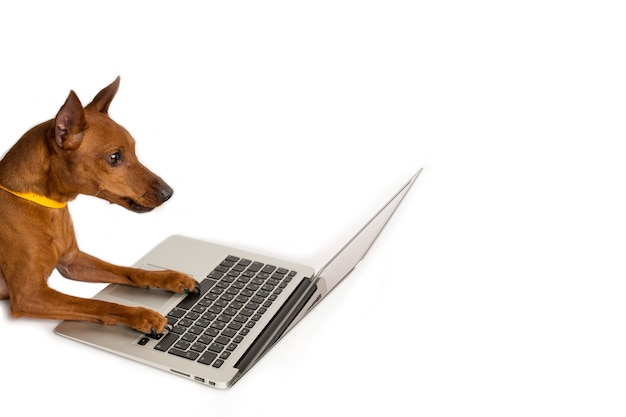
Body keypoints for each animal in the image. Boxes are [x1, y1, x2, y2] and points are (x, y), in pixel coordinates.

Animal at [0, 76, 197, 334]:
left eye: (134, 150)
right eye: (114, 157)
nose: (168, 193)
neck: (47, 206)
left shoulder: (72, 261)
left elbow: (128, 271)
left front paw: (169, 278)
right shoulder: (29, 294)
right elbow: (97, 303)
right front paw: (143, 315)